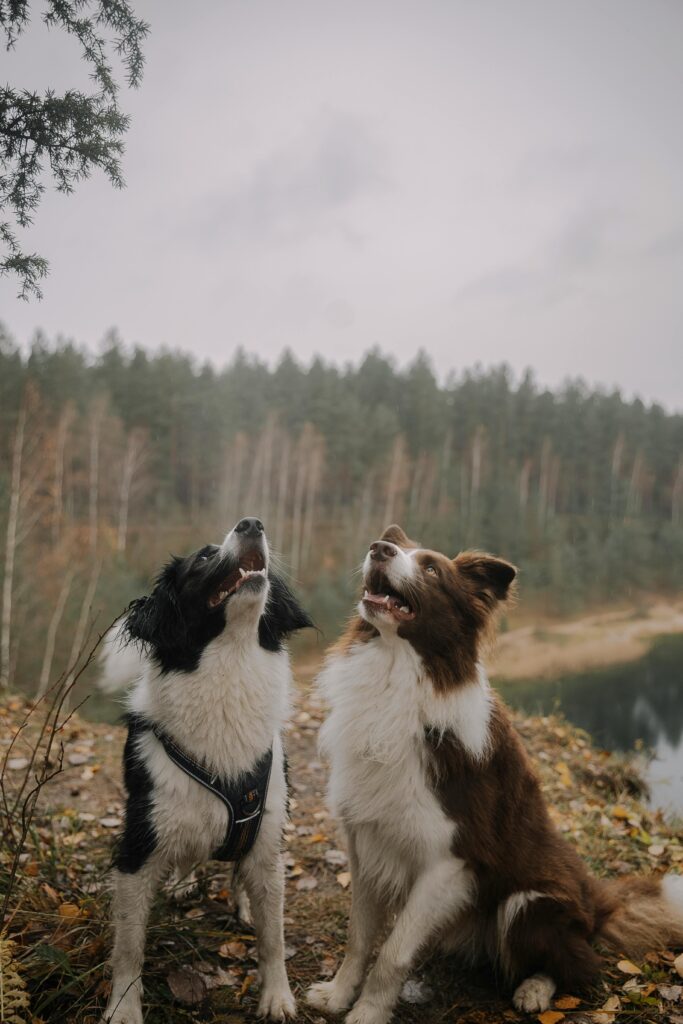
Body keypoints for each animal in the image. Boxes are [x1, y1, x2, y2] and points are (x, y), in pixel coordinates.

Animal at [100, 520, 313, 1024]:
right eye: (201, 558)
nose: (252, 523)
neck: (228, 664)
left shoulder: (266, 838)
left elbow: (273, 938)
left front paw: (277, 996)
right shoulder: (138, 847)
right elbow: (128, 946)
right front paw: (124, 1007)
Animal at [309, 528, 683, 1024]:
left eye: (432, 569)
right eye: (397, 550)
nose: (378, 549)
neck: (396, 677)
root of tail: (596, 905)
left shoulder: (451, 859)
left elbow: (392, 953)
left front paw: (368, 1013)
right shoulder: (367, 840)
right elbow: (360, 937)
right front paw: (337, 996)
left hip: (528, 904)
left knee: (579, 965)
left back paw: (535, 991)